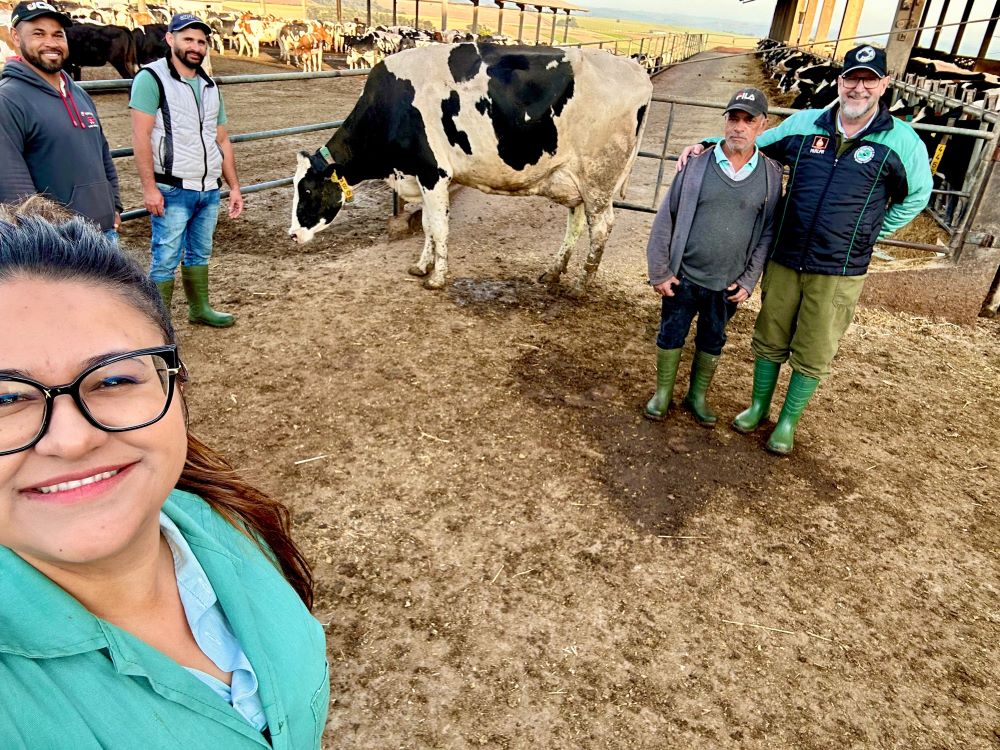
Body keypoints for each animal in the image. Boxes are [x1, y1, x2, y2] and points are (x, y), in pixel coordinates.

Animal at [288, 43, 652, 297]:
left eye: (306, 190)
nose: (292, 234)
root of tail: (635, 69)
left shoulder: (433, 172)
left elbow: (438, 227)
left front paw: (436, 278)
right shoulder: (423, 176)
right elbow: (429, 225)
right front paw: (422, 266)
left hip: (598, 179)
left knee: (601, 227)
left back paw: (580, 285)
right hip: (574, 179)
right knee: (575, 223)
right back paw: (553, 272)